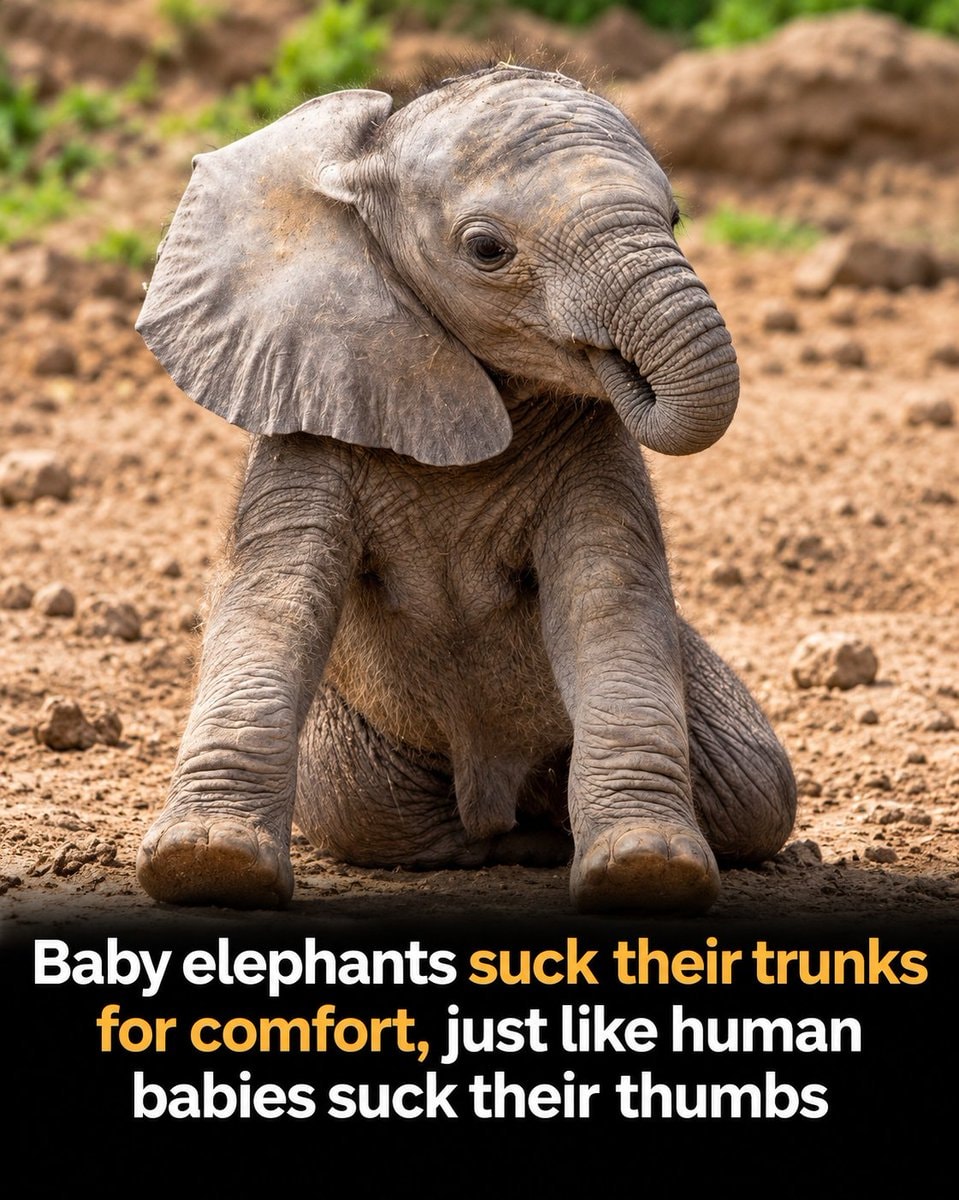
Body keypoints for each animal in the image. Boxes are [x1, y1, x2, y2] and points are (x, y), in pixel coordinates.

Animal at [134, 65, 796, 914]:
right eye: (486, 249)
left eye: (675, 216)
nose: (619, 363)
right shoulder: (309, 409)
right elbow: (272, 599)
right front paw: (208, 869)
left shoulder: (595, 448)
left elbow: (608, 603)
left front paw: (646, 873)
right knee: (361, 809)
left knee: (756, 788)